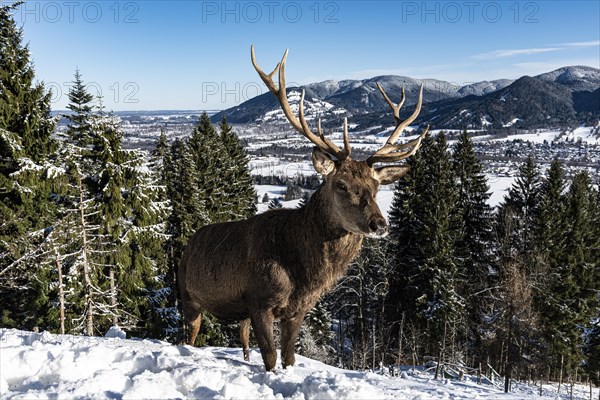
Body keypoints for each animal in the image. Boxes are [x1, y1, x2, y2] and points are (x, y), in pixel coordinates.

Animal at [176, 46, 428, 372]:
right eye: (341, 184)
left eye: (376, 187)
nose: (379, 224)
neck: (303, 275)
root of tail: (190, 241)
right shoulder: (259, 300)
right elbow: (270, 357)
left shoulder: (298, 309)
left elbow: (289, 358)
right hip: (186, 294)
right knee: (188, 334)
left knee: (241, 336)